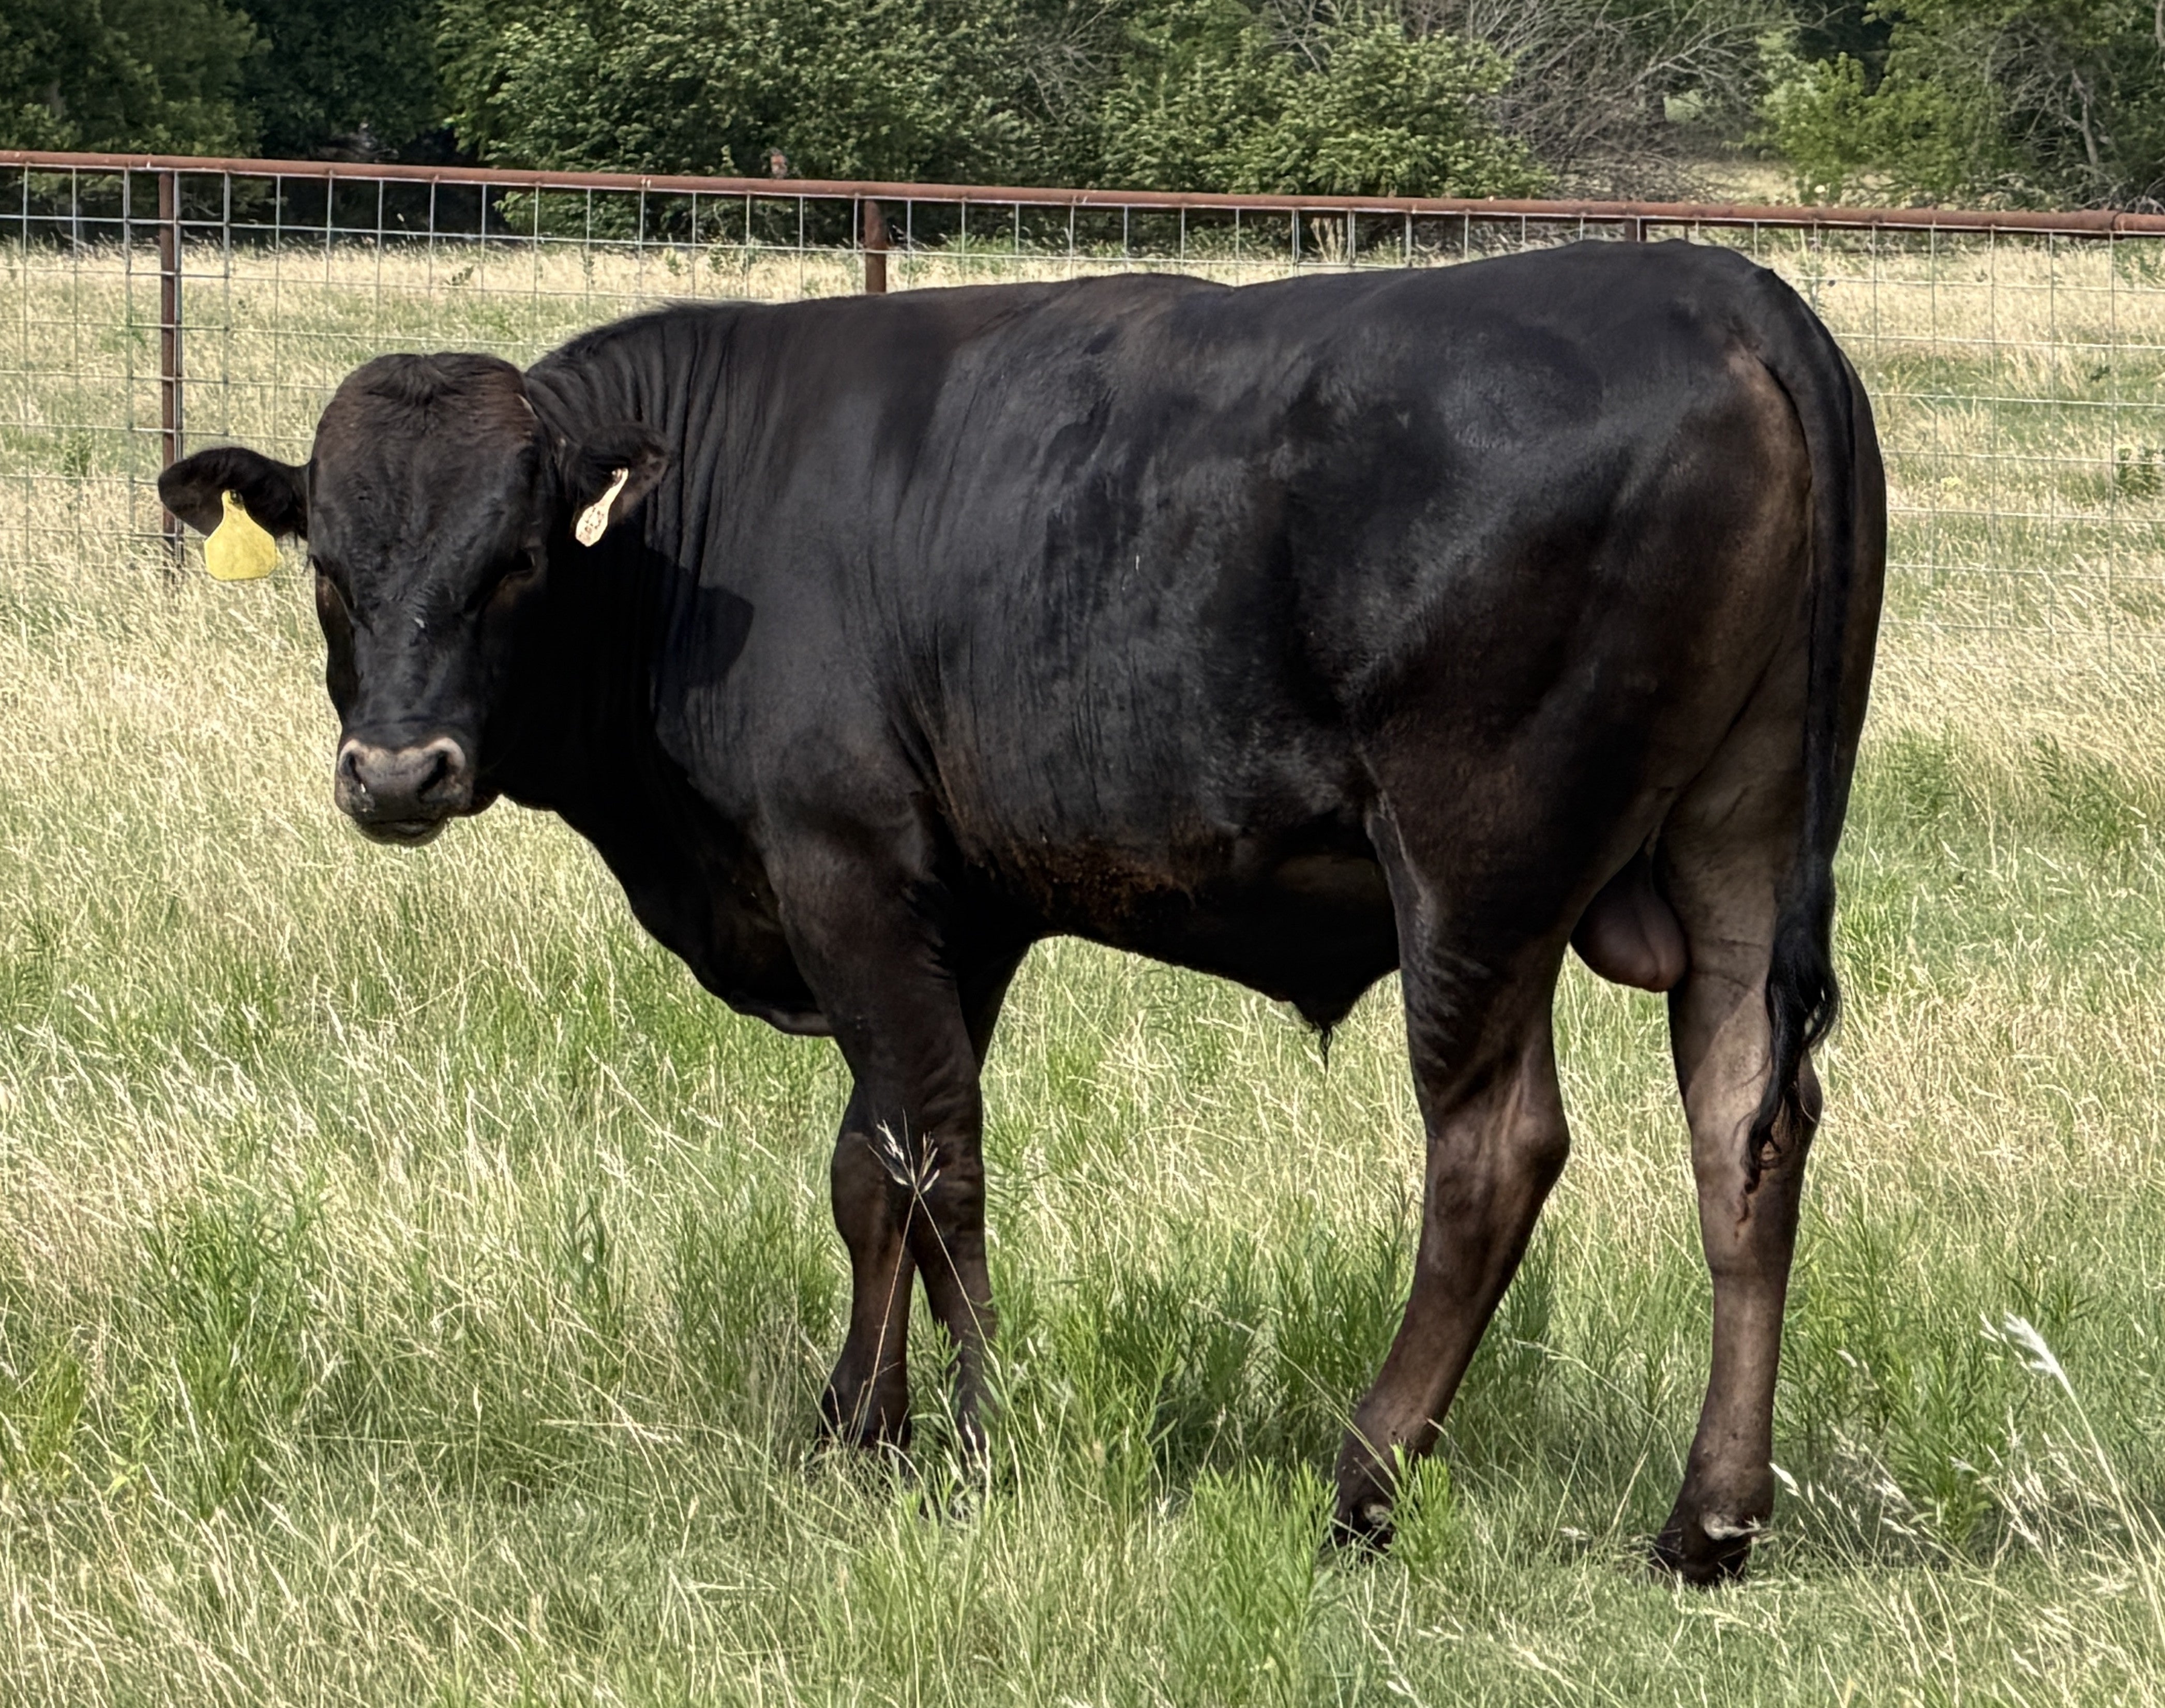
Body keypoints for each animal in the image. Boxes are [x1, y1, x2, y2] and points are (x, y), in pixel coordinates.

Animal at [159, 240, 1884, 1583]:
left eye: (516, 557)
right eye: (328, 561)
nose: (400, 768)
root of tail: (1708, 284)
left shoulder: (845, 866)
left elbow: (937, 1161)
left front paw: (982, 1439)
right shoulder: (947, 912)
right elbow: (868, 1168)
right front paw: (854, 1425)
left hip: (1476, 872)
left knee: (1494, 1151)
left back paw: (1365, 1481)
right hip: (1736, 847)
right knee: (1746, 1133)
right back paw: (1708, 1523)